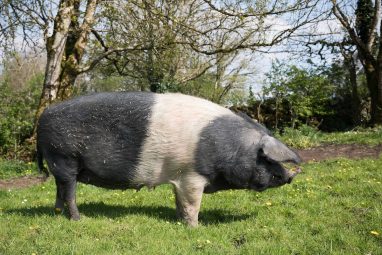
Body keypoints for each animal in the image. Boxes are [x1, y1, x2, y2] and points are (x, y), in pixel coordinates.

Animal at [37, 91, 302, 225]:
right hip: (63, 157)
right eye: (265, 157)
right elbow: (192, 204)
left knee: (59, 190)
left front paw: (179, 220)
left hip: (59, 163)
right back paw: (78, 220)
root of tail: (41, 118)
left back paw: (57, 214)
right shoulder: (192, 176)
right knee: (69, 191)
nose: (290, 176)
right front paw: (195, 228)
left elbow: (180, 203)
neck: (229, 148)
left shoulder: (180, 178)